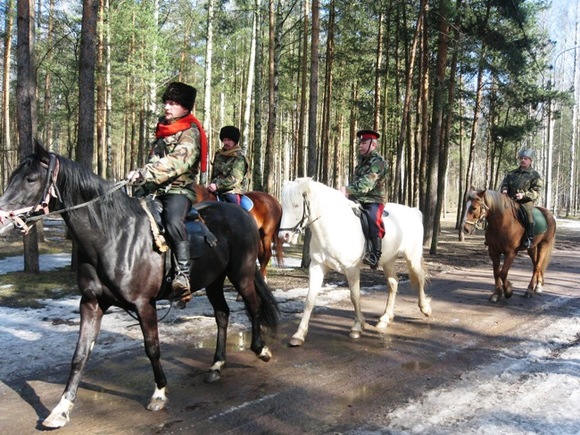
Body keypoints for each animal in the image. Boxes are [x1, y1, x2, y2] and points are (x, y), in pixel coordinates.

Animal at [0, 145, 278, 430]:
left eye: (30, 179)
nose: (3, 218)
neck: (112, 235)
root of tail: (242, 214)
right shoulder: (91, 303)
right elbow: (80, 355)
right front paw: (61, 409)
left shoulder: (144, 304)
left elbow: (152, 348)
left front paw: (159, 393)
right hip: (214, 281)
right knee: (222, 314)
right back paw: (216, 365)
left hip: (241, 274)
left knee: (253, 306)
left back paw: (261, 349)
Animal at [276, 178, 430, 348]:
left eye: (296, 205)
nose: (284, 236)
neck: (332, 227)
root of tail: (413, 211)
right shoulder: (317, 267)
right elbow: (310, 299)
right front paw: (299, 334)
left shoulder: (351, 269)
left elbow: (355, 297)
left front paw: (357, 327)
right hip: (389, 261)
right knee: (393, 283)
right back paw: (385, 318)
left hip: (412, 257)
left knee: (420, 278)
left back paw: (425, 308)